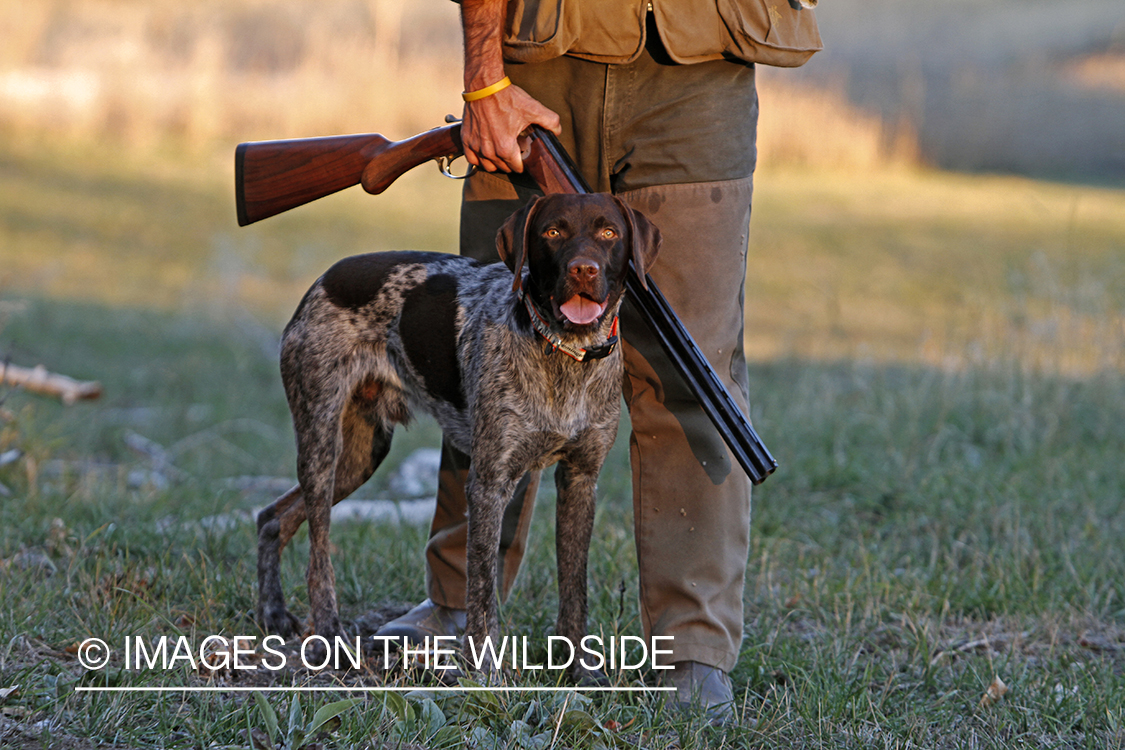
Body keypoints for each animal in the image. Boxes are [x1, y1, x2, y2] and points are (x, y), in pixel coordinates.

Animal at [255, 192, 657, 679]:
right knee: (318, 555)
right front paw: (484, 670)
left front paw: (577, 668)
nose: (584, 270)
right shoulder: (488, 483)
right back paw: (330, 635)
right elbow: (481, 586)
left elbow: (573, 586)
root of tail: (324, 278)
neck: (566, 353)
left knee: (272, 516)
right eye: (552, 232)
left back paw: (273, 615)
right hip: (320, 438)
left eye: (609, 233)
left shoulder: (580, 478)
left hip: (358, 457)